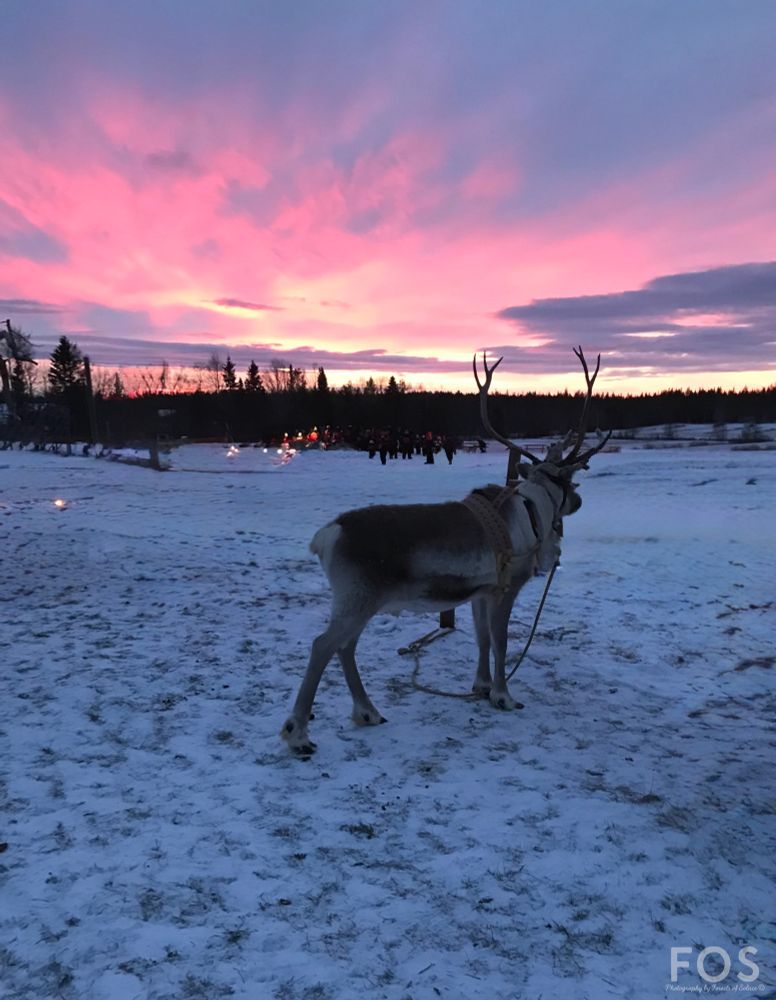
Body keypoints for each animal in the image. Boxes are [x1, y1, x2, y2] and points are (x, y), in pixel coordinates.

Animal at [281, 347, 611, 756]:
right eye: (570, 482)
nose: (579, 502)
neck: (535, 511)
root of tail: (326, 535)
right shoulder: (506, 588)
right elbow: (501, 641)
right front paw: (503, 695)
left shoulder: (480, 592)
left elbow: (482, 638)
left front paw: (481, 687)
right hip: (358, 597)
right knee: (322, 645)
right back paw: (299, 733)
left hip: (360, 601)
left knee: (345, 647)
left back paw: (367, 711)